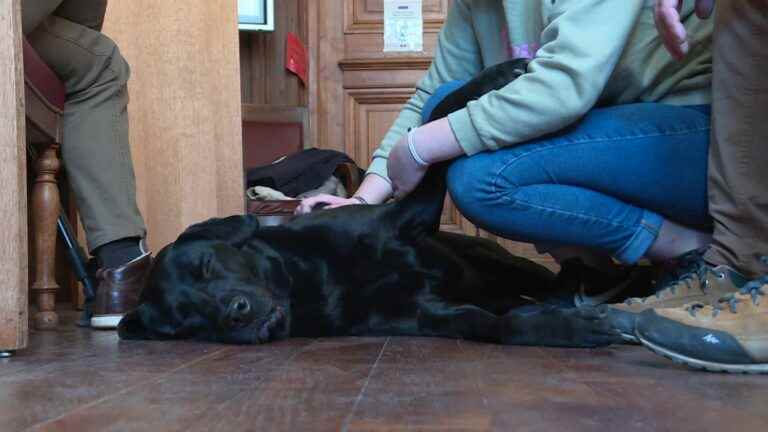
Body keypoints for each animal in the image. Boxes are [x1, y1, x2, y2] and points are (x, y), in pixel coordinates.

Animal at [120, 59, 624, 348]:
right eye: (185, 323)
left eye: (206, 265)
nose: (233, 314)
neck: (309, 279)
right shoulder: (423, 315)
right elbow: (494, 326)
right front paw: (567, 330)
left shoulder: (409, 213)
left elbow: (441, 115)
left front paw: (495, 75)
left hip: (508, 265)